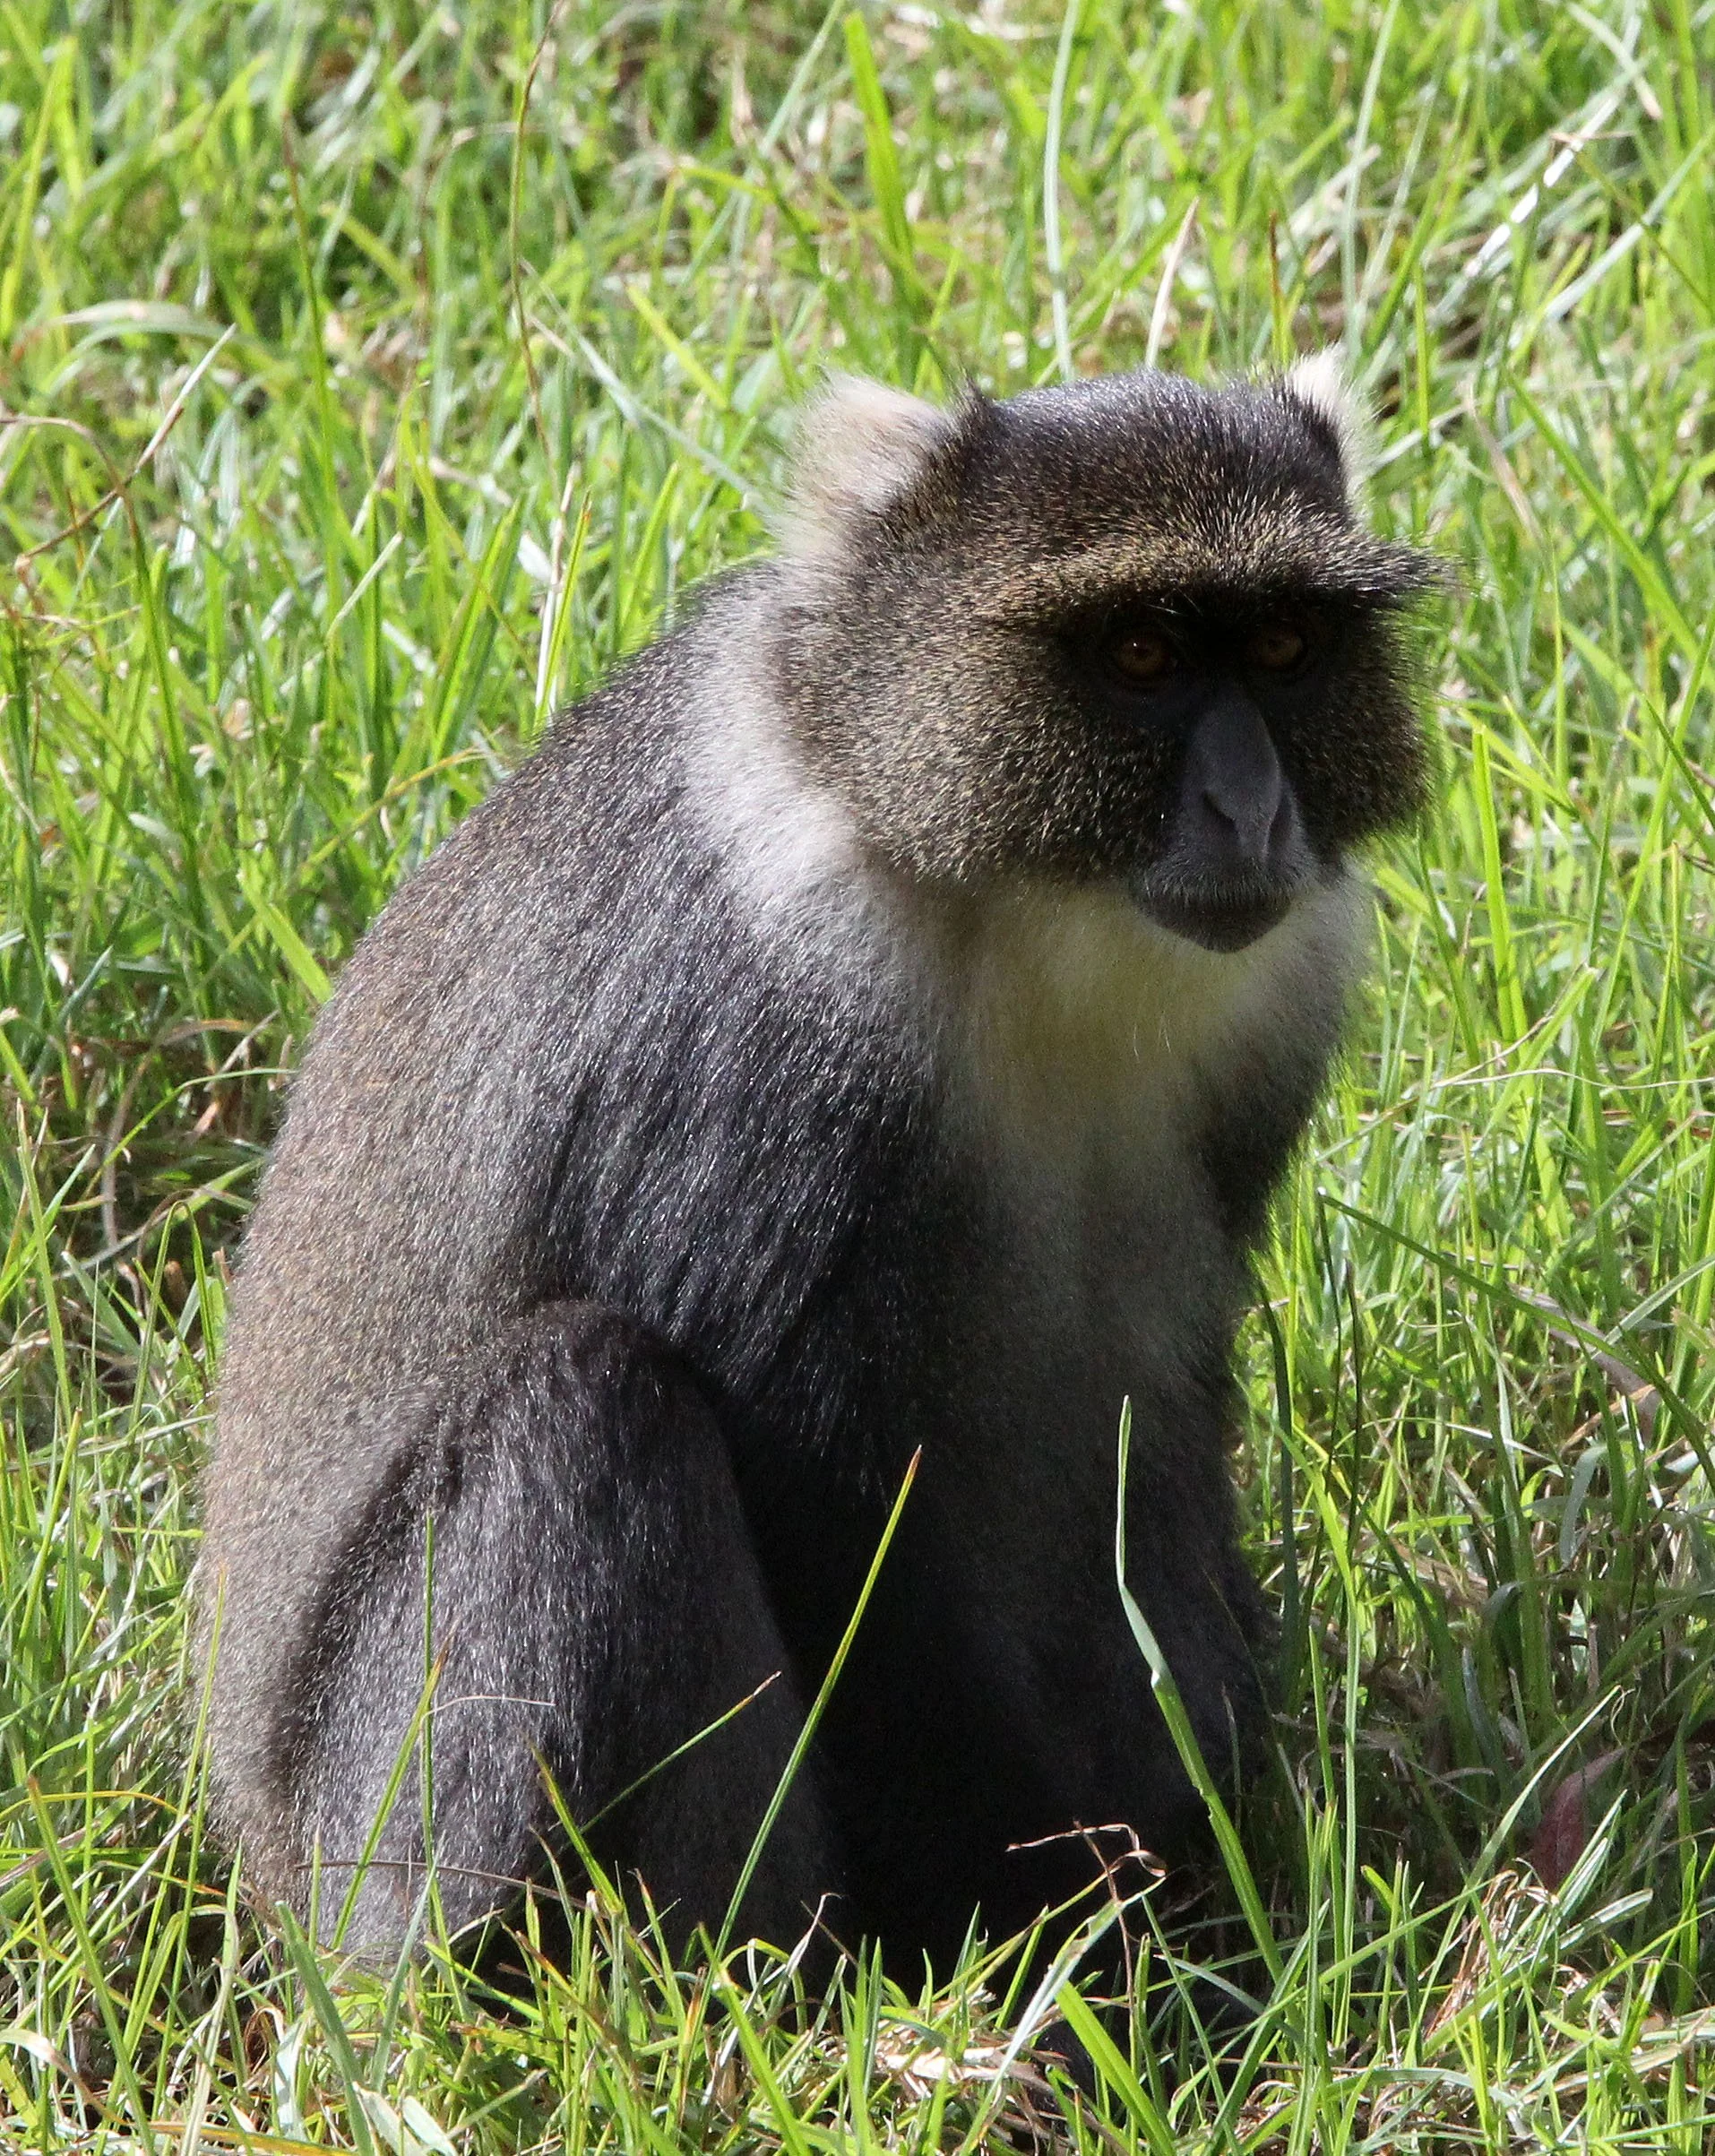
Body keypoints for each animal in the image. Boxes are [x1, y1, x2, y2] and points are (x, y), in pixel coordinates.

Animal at [197, 356, 1441, 1976]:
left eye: (1285, 646)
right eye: (1141, 653)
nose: (1249, 807)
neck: (1001, 903)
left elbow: (1155, 1429)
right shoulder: (755, 1032)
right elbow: (834, 1514)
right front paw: (1052, 1925)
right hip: (376, 1830)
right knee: (581, 1401)